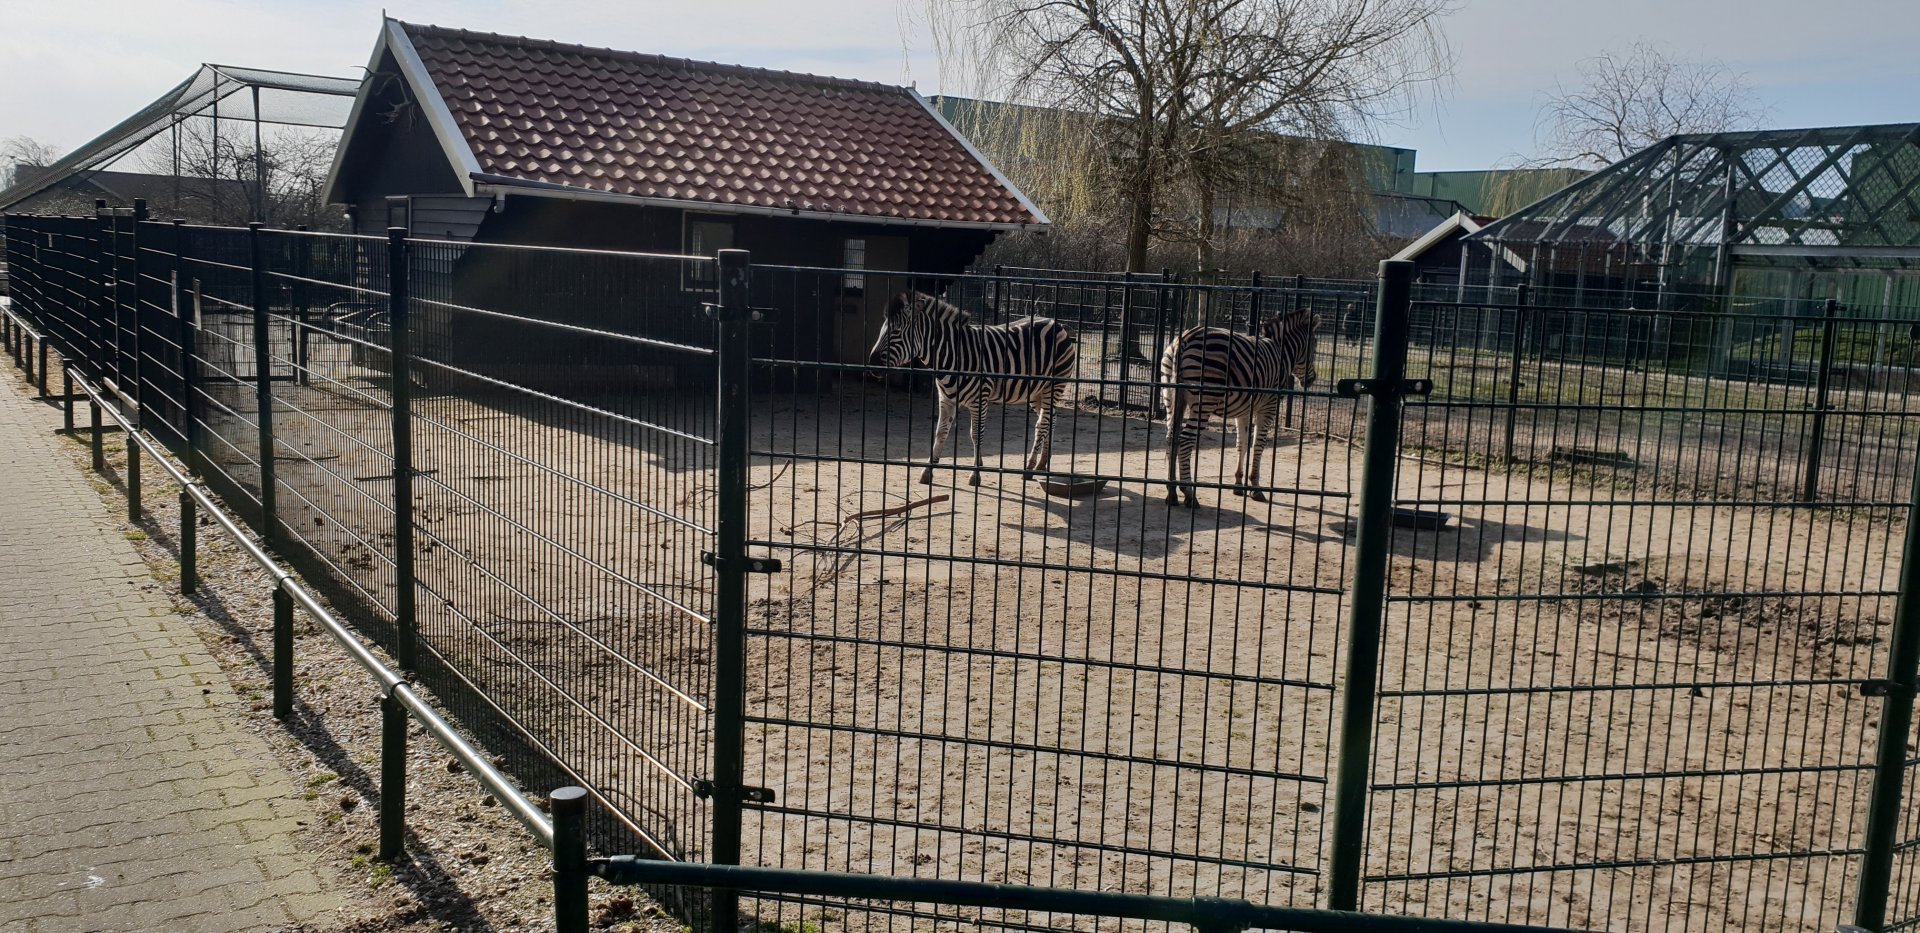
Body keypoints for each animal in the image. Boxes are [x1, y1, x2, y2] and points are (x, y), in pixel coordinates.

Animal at [868, 291, 1078, 487]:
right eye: (882, 329)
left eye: (896, 332)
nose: (871, 364)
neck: (953, 354)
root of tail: (1058, 324)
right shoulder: (946, 399)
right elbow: (940, 433)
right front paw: (928, 470)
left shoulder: (979, 400)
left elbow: (976, 434)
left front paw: (975, 474)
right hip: (1035, 392)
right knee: (1051, 419)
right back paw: (1042, 464)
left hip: (1053, 386)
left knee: (1042, 424)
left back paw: (1030, 467)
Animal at [1159, 309, 1321, 508]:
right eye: (1314, 346)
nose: (1312, 380)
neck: (1282, 353)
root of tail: (1185, 339)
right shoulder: (1269, 406)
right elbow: (1258, 444)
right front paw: (1255, 488)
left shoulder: (1243, 410)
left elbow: (1241, 443)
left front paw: (1238, 483)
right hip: (1204, 400)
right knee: (1185, 441)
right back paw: (1189, 493)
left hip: (1170, 395)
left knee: (1171, 438)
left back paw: (1172, 491)